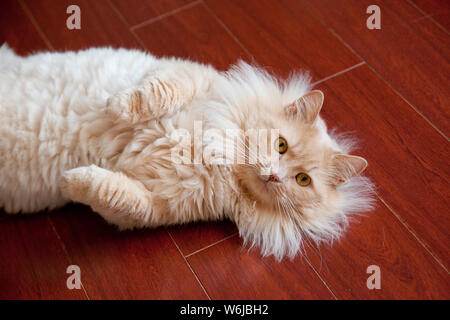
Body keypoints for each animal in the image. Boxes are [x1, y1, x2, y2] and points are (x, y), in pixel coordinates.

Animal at [0, 44, 372, 260]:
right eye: (281, 145)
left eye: (302, 180)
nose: (273, 176)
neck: (225, 161)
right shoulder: (187, 74)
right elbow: (154, 94)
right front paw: (115, 107)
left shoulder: (153, 208)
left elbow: (111, 192)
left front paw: (70, 181)